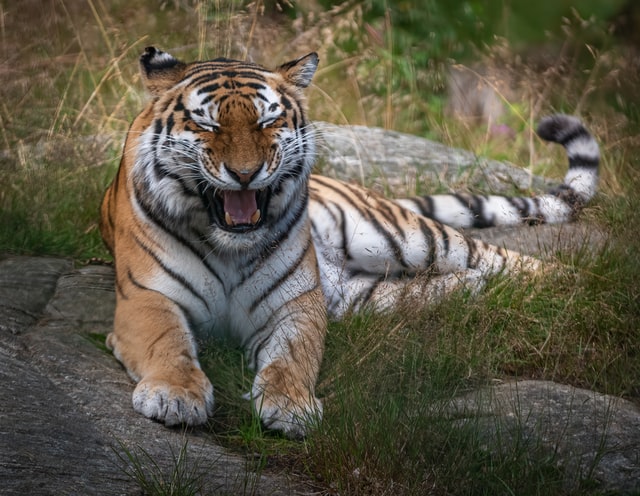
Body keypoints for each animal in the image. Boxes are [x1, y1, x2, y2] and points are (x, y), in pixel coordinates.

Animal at [100, 44, 600, 436]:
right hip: (363, 296)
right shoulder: (147, 297)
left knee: (503, 257)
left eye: (267, 122)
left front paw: (291, 406)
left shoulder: (295, 304)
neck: (229, 244)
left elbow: (292, 358)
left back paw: (577, 288)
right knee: (452, 282)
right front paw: (175, 396)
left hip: (401, 237)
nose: (245, 174)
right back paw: (470, 289)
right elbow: (168, 344)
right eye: (208, 125)